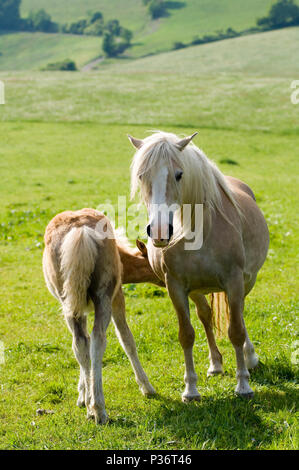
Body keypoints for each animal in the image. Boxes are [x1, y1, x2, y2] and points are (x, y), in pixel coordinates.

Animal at [42, 207, 161, 424]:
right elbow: (127, 339)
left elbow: (84, 346)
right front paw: (147, 388)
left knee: (81, 342)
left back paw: (92, 407)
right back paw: (99, 409)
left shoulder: (77, 304)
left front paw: (82, 397)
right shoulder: (117, 295)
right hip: (104, 294)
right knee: (98, 338)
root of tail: (81, 232)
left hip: (68, 300)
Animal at [130, 131, 270, 400]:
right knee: (205, 315)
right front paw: (191, 390)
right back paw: (215, 364)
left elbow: (236, 331)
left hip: (246, 283)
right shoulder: (175, 287)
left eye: (179, 174)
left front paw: (243, 385)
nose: (160, 232)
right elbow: (186, 335)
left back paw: (249, 358)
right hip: (196, 291)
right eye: (141, 175)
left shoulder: (234, 281)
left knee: (239, 316)